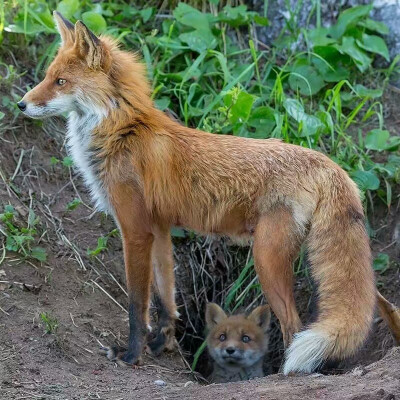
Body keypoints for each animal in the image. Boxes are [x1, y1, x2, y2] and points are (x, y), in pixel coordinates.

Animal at [16, 11, 378, 376]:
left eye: (61, 81)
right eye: (48, 77)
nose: (21, 104)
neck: (122, 131)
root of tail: (327, 163)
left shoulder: (135, 231)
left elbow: (137, 304)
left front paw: (132, 355)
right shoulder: (159, 229)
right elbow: (165, 299)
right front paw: (162, 345)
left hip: (266, 258)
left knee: (294, 327)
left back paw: (281, 375)